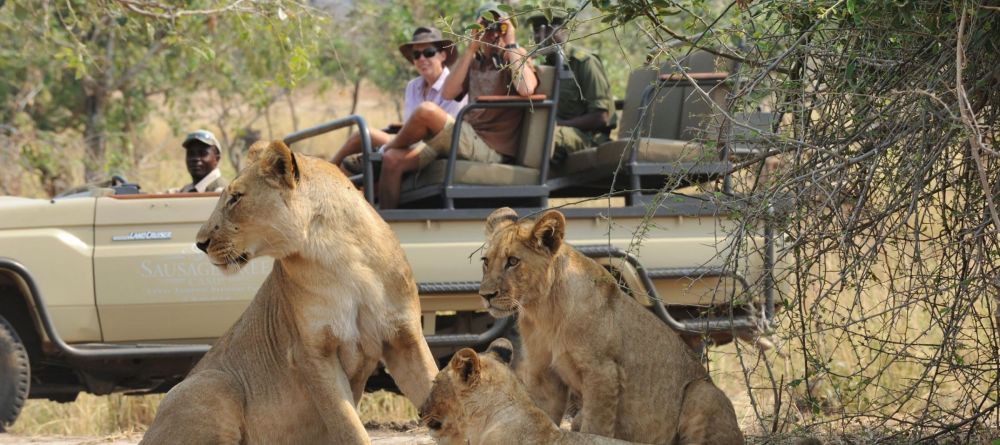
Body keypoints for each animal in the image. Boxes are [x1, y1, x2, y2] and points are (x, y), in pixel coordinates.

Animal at [140, 141, 438, 445]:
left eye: (235, 198)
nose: (201, 243)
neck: (342, 257)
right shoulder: (311, 353)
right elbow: (349, 427)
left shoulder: (404, 338)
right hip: (212, 382)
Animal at [478, 207, 744, 444]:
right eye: (485, 262)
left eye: (513, 261)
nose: (485, 295)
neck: (542, 310)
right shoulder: (543, 373)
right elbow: (540, 418)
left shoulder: (602, 371)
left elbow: (596, 426)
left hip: (703, 392)